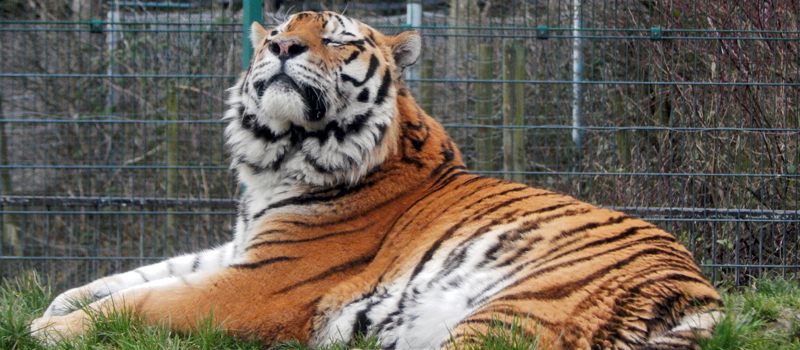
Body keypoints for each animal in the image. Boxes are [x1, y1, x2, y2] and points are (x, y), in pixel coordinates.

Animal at [31, 10, 720, 350]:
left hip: (516, 311)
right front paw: (57, 305)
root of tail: (700, 296)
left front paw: (48, 331)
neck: (279, 158)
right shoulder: (242, 247)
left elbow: (144, 300)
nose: (281, 47)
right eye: (277, 32)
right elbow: (131, 277)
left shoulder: (255, 284)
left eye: (335, 39)